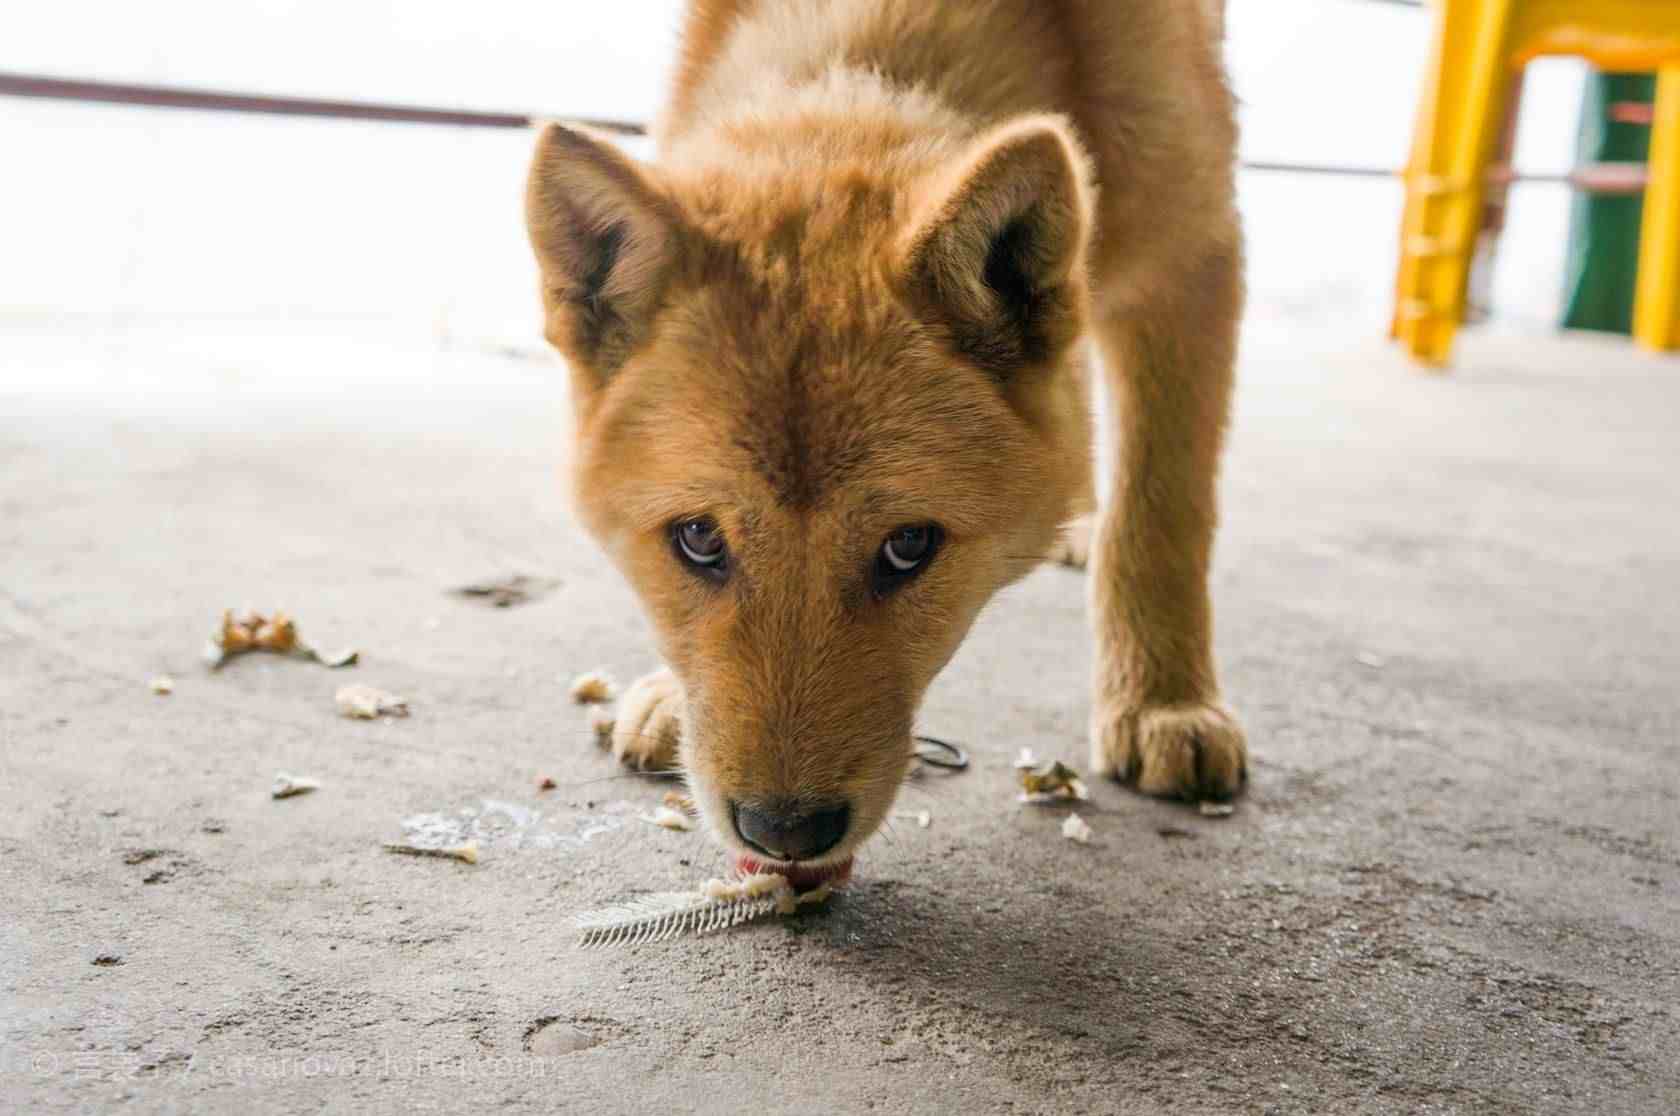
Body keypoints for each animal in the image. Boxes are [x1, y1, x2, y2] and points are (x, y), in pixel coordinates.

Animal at [524, 0, 1249, 887]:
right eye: (697, 539)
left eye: (909, 546)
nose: (785, 833)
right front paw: (668, 690)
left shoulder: (1194, 261)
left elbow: (1160, 515)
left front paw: (1162, 701)